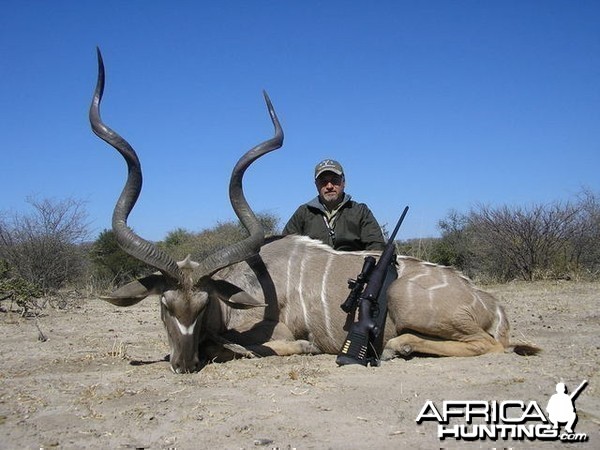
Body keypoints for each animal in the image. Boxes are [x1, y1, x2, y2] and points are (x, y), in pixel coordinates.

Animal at [89, 50, 540, 372]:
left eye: (202, 306)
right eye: (166, 306)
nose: (183, 364)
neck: (243, 286)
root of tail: (491, 304)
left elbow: (236, 345)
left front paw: (295, 347)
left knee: (489, 345)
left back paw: (400, 347)